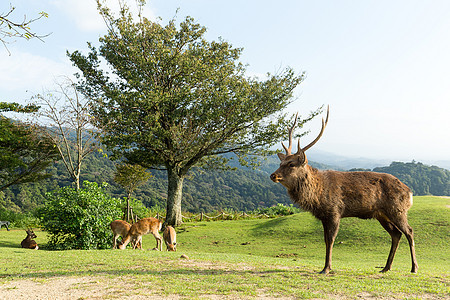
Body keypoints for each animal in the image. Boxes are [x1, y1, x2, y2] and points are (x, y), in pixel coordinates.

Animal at [268, 108, 418, 274]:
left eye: (291, 164)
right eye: (280, 163)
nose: (273, 175)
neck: (318, 195)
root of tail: (409, 192)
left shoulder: (335, 211)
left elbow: (331, 239)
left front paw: (327, 268)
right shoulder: (323, 216)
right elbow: (325, 240)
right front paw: (325, 266)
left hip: (397, 209)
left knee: (409, 231)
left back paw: (414, 268)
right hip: (381, 214)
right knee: (396, 234)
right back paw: (386, 267)